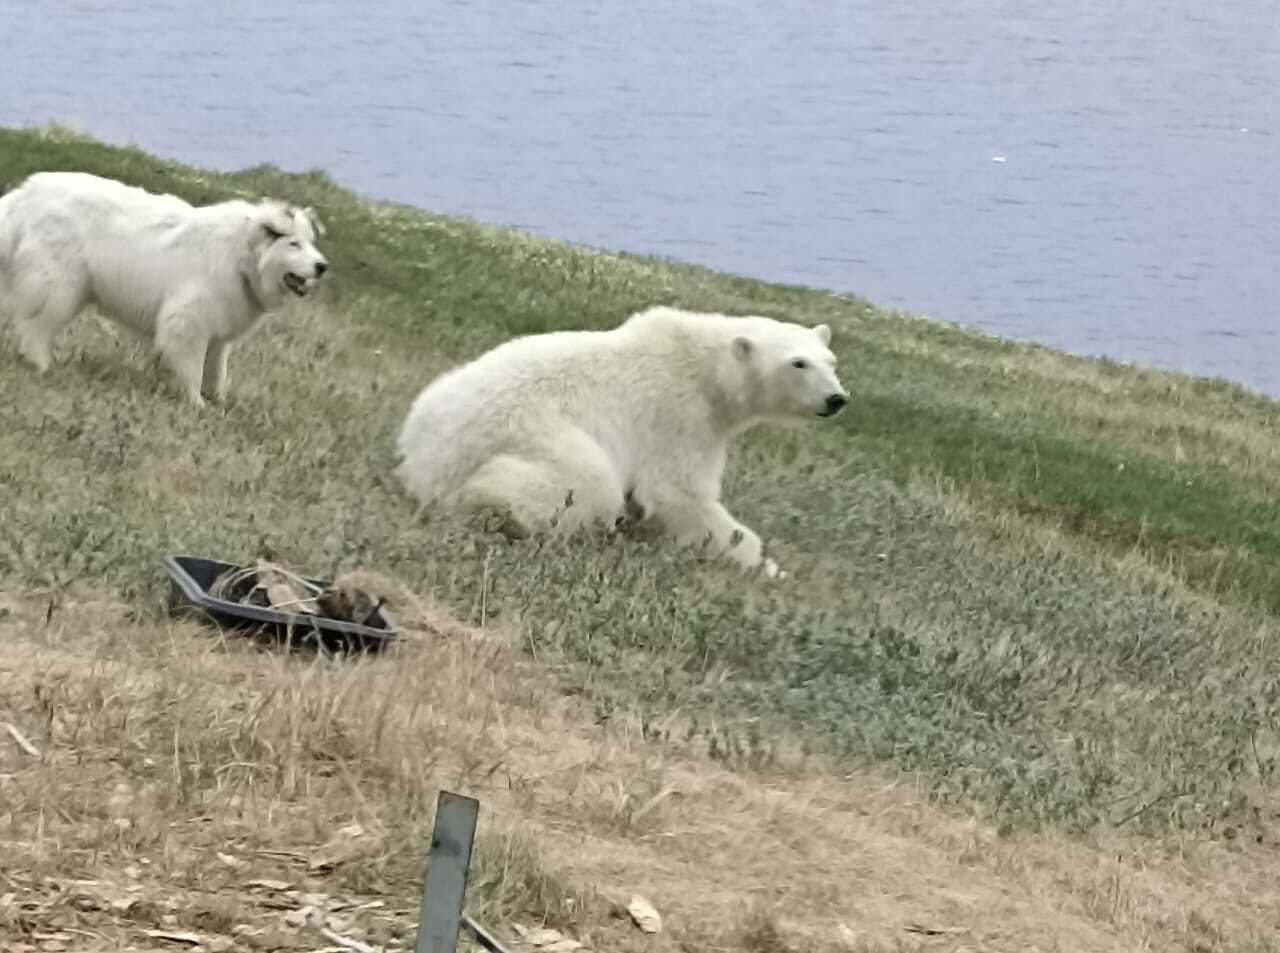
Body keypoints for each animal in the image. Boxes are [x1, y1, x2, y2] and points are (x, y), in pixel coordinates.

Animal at [2, 168, 330, 404]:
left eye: (311, 243)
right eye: (294, 244)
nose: (322, 266)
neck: (241, 256)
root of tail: (26, 194)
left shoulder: (217, 330)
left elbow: (216, 369)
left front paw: (218, 401)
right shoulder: (188, 322)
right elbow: (192, 368)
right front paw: (195, 403)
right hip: (60, 287)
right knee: (36, 327)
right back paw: (42, 364)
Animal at [394, 307, 844, 573]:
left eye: (831, 361)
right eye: (798, 363)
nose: (837, 399)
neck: (705, 369)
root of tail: (427, 463)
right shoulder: (680, 416)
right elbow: (678, 492)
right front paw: (763, 563)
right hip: (535, 431)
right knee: (588, 485)